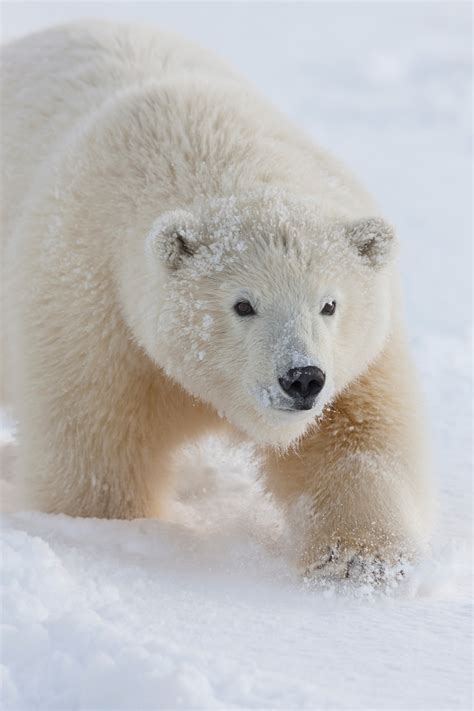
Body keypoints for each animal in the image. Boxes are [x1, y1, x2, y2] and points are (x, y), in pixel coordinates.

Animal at [0, 20, 434, 580]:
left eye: (330, 304)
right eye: (243, 305)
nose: (301, 378)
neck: (210, 146)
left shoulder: (358, 356)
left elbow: (355, 435)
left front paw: (360, 561)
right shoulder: (92, 307)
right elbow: (96, 455)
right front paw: (111, 533)